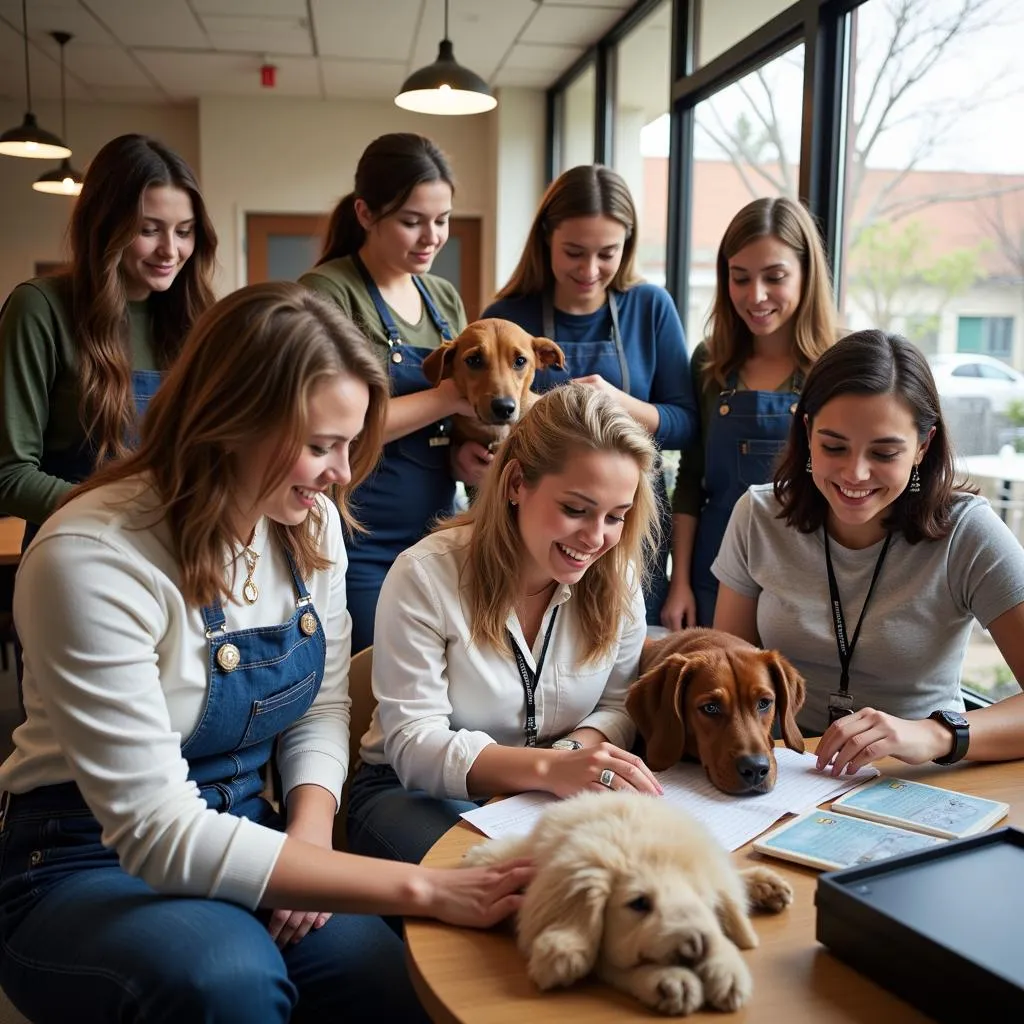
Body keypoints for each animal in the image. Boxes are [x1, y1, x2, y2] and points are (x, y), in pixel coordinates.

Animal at [464, 786, 790, 1011]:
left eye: (705, 902)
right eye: (639, 903)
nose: (697, 946)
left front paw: (726, 969)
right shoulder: (601, 950)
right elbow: (615, 966)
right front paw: (668, 981)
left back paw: (764, 885)